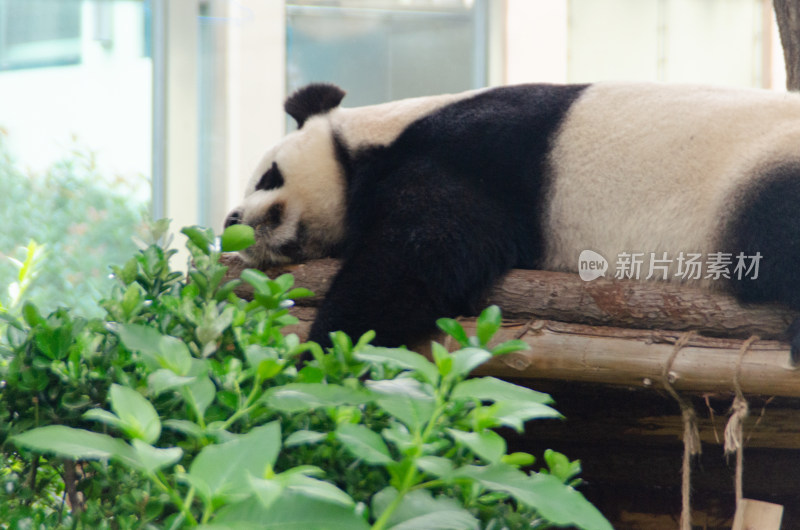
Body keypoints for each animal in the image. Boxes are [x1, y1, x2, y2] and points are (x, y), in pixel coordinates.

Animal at [225, 81, 800, 358]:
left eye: (268, 176)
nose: (232, 218)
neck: (376, 139)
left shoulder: (470, 155)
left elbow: (416, 257)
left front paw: (323, 350)